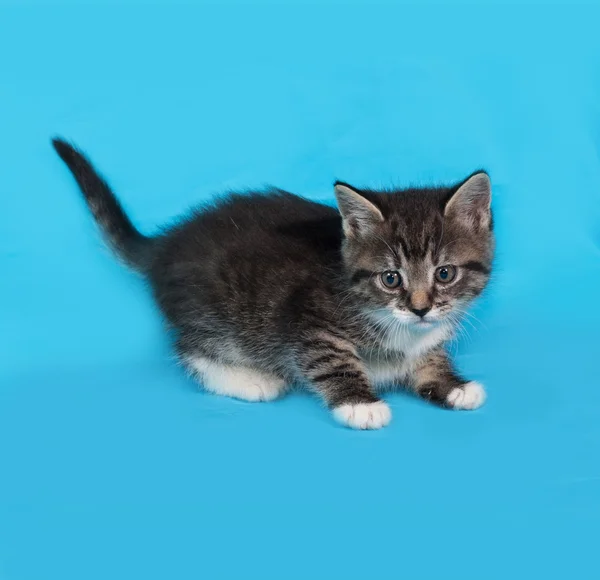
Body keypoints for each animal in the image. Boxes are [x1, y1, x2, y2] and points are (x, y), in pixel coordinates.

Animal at [52, 139, 492, 430]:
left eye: (445, 274)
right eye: (390, 278)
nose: (420, 308)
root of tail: (166, 244)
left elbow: (429, 359)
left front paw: (453, 385)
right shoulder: (309, 323)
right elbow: (330, 359)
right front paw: (360, 403)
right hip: (215, 314)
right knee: (191, 351)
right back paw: (250, 380)